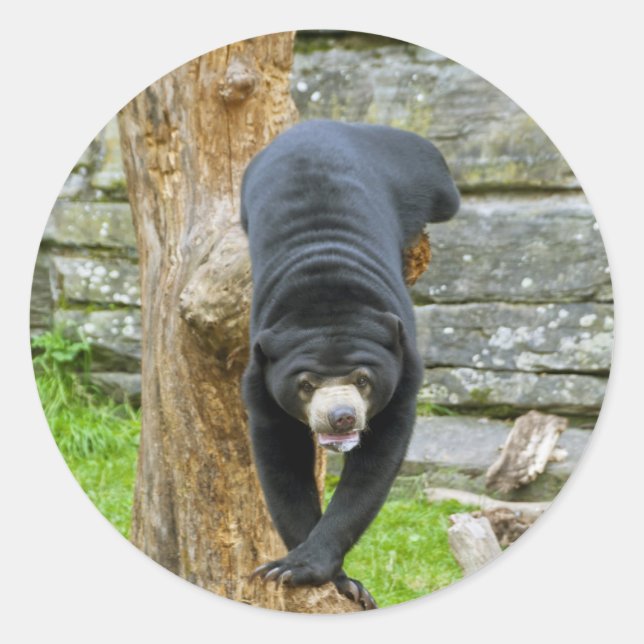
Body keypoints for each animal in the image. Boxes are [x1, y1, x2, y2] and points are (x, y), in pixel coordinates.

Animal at [241, 120, 459, 609]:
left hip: (421, 169)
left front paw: (309, 568)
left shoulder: (405, 373)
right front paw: (319, 576)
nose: (340, 417)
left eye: (362, 380)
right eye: (305, 384)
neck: (327, 302)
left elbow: (375, 465)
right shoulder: (260, 381)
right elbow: (281, 463)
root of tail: (319, 124)